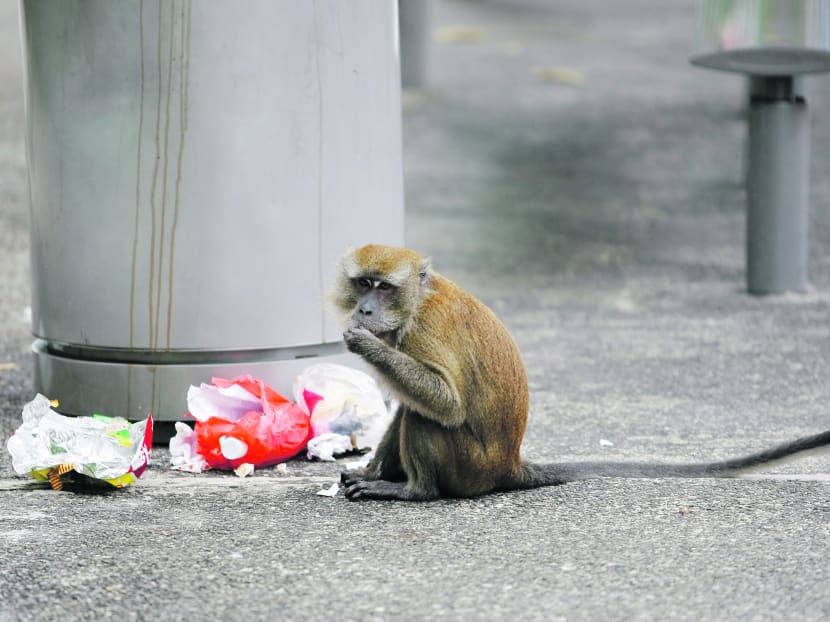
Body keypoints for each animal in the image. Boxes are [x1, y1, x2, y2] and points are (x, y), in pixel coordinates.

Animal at [334, 244, 830, 502]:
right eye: (363, 284)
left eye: (383, 287)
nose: (365, 309)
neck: (418, 301)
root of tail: (509, 464)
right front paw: (371, 470)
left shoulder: (424, 333)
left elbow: (445, 402)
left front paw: (364, 343)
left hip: (469, 467)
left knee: (429, 417)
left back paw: (414, 491)